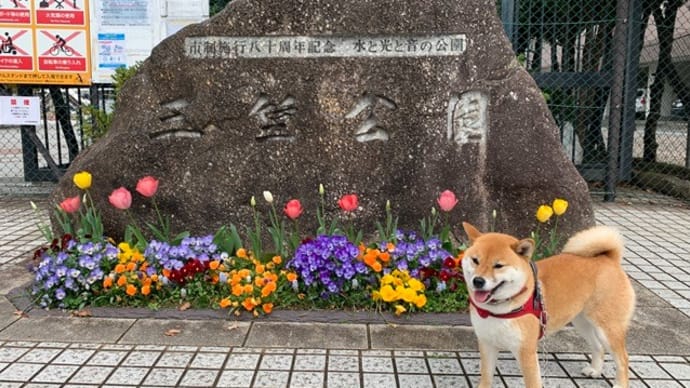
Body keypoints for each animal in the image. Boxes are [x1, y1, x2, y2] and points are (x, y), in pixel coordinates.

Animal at [460, 221, 632, 388]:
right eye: (475, 260)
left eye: (498, 265)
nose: (478, 281)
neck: (497, 310)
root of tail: (609, 258)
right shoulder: (487, 343)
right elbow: (486, 375)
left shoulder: (526, 351)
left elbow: (532, 382)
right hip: (582, 323)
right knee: (598, 346)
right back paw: (595, 370)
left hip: (608, 329)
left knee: (623, 358)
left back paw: (619, 384)